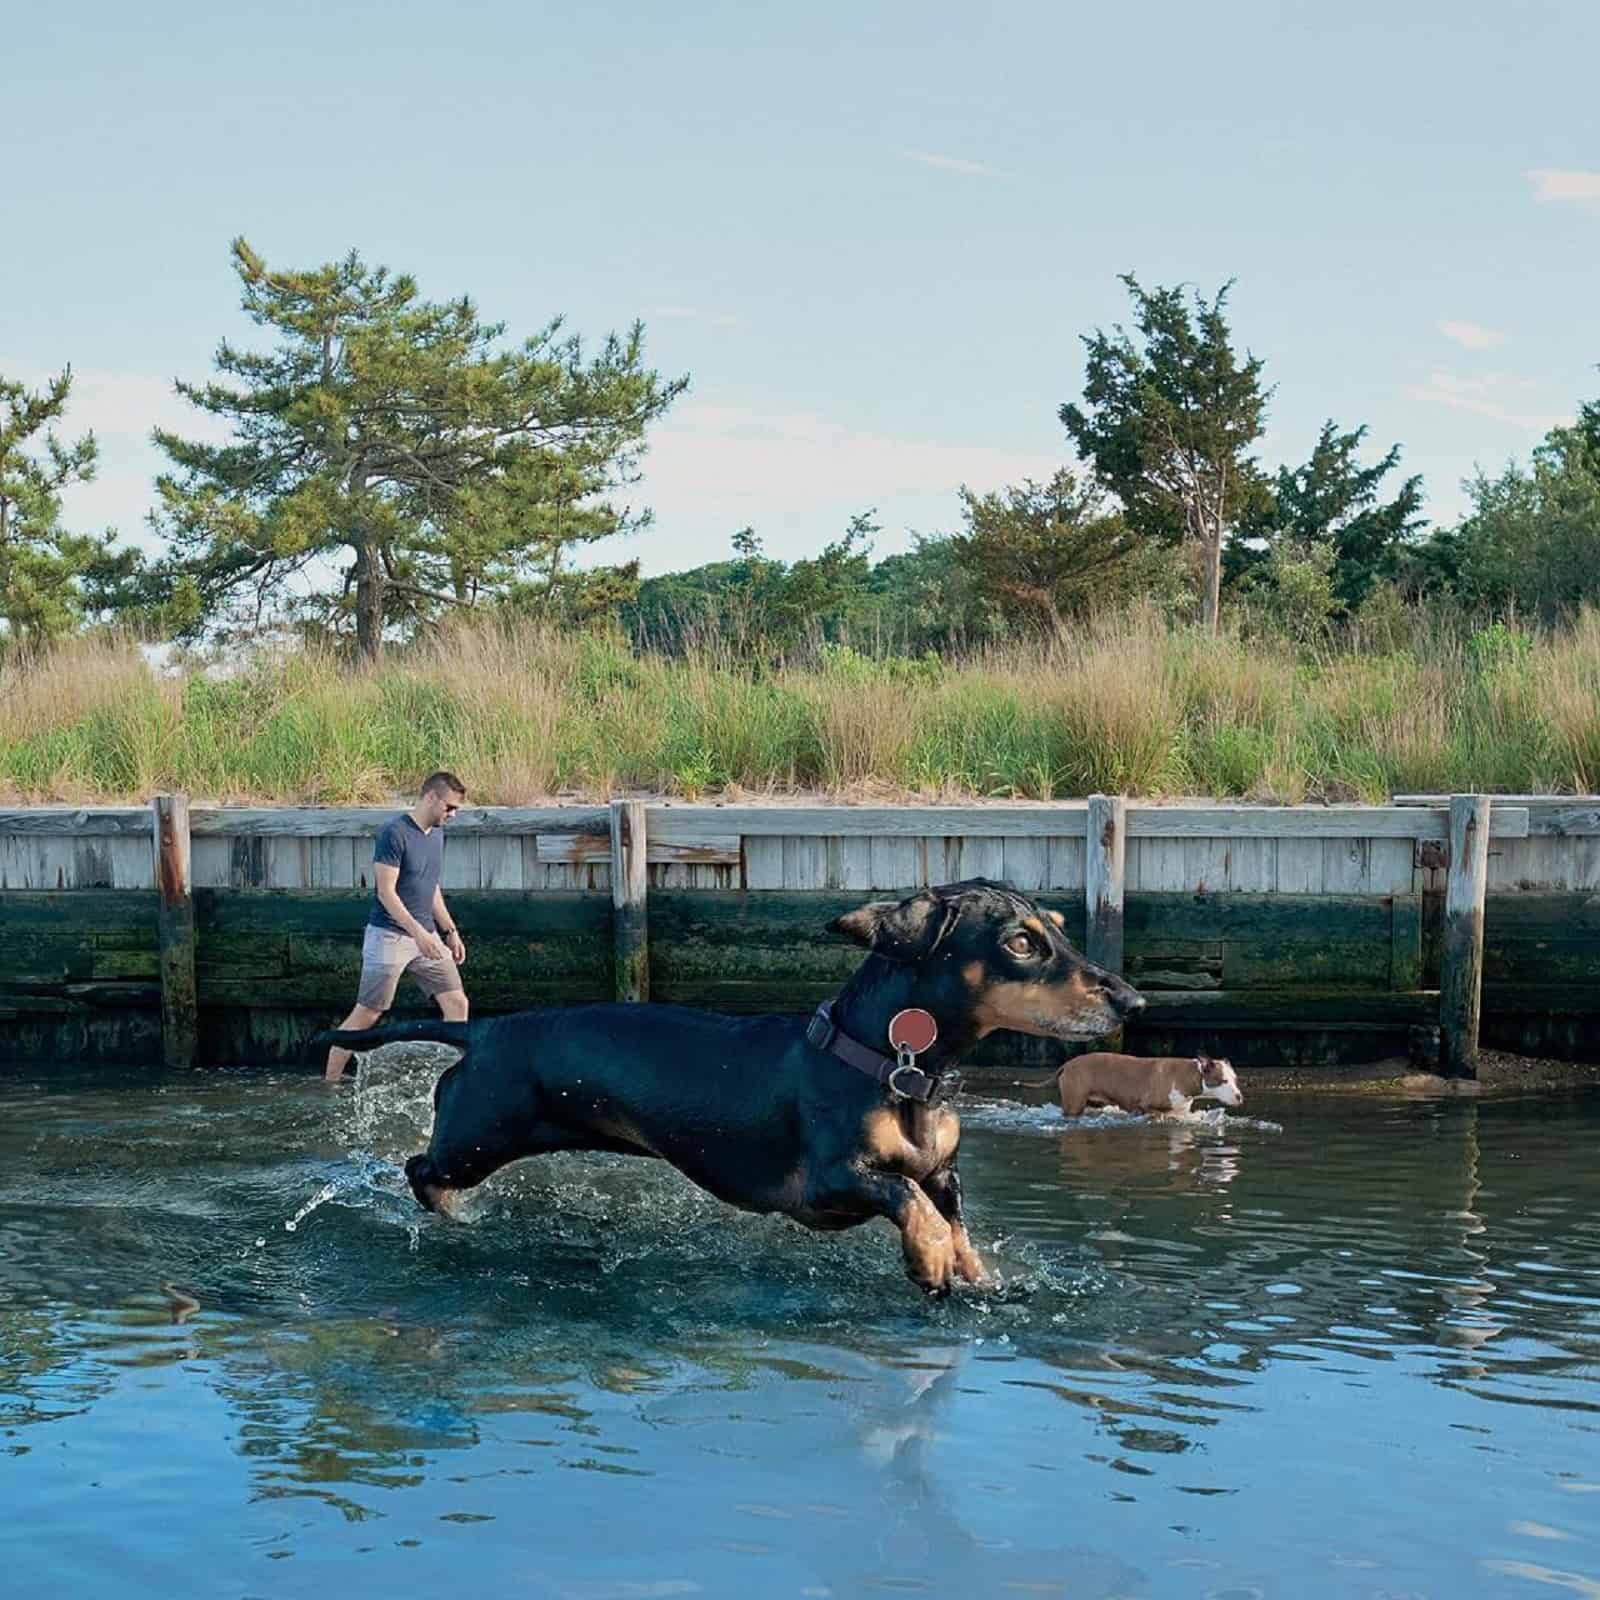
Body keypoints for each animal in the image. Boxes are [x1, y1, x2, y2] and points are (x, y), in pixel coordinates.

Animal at [312, 883, 1145, 1292]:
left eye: (1058, 927)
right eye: (1021, 943)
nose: (1133, 1002)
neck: (898, 1069)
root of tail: (484, 1032)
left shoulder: (944, 1169)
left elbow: (949, 1210)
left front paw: (972, 1270)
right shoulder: (830, 1181)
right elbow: (906, 1199)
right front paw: (932, 1260)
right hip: (478, 1135)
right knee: (420, 1170)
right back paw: (451, 1216)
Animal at [1056, 1056, 1241, 1120]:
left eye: (1235, 1079)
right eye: (1223, 1080)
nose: (1239, 1096)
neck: (1189, 1075)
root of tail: (1067, 1064)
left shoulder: (1180, 1110)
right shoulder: (1146, 1107)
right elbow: (1160, 1114)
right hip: (1074, 1104)